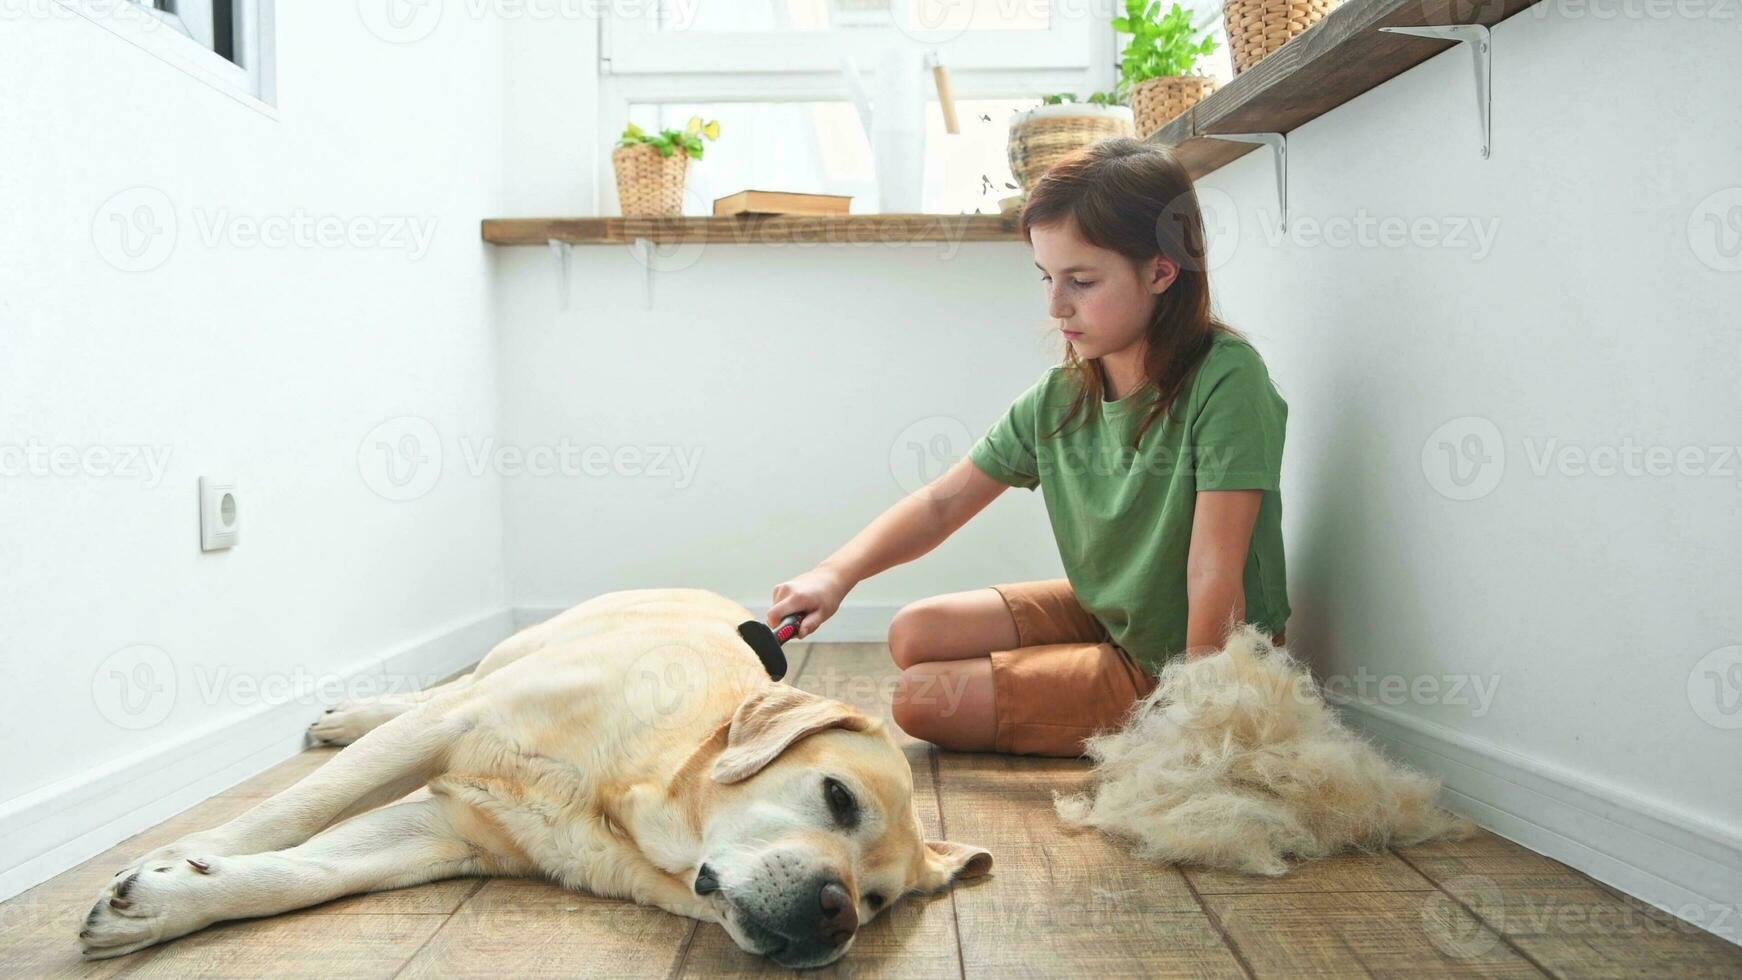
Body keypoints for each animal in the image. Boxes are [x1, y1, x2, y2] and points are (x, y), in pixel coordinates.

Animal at [78, 591, 996, 967]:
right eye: (838, 797)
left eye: (879, 903)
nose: (837, 915)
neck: (622, 793)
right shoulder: (454, 729)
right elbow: (295, 810)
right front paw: (183, 852)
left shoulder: (444, 835)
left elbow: (302, 874)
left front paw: (170, 900)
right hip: (500, 665)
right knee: (429, 694)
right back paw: (350, 715)